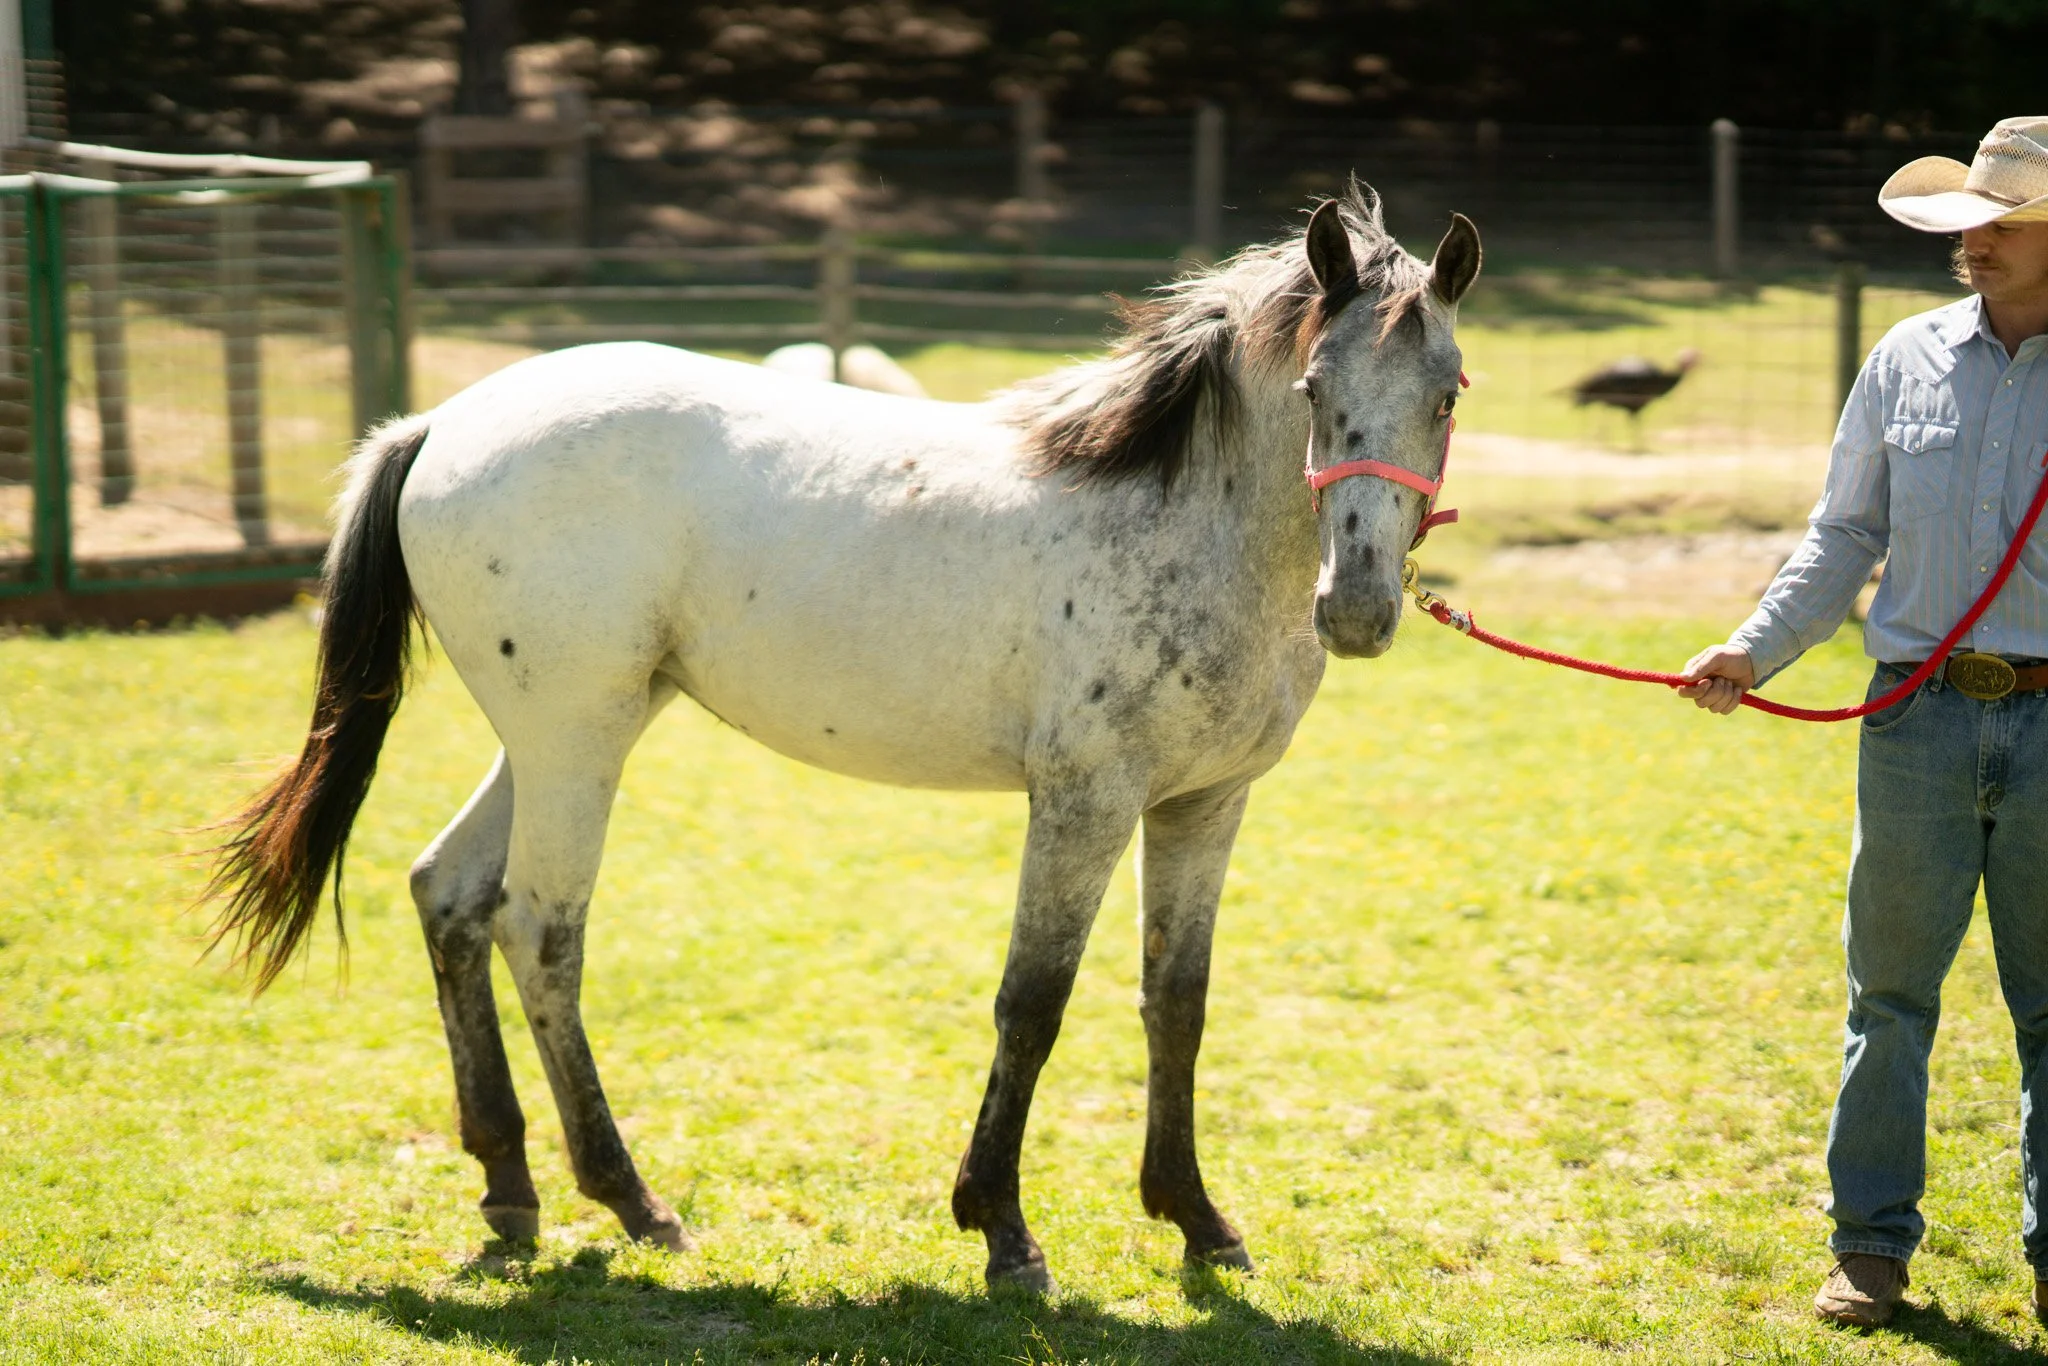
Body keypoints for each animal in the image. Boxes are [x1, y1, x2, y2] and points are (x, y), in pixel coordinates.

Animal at [204, 181, 1481, 1293]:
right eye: (1311, 386)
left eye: (1449, 394)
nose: (1358, 607)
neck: (1180, 518)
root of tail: (437, 424)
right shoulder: (1084, 798)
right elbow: (1034, 999)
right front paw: (1002, 1232)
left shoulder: (1202, 804)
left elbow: (1177, 999)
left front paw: (1197, 1221)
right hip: (578, 736)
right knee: (539, 929)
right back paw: (632, 1199)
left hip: (564, 731)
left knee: (448, 894)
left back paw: (512, 1189)